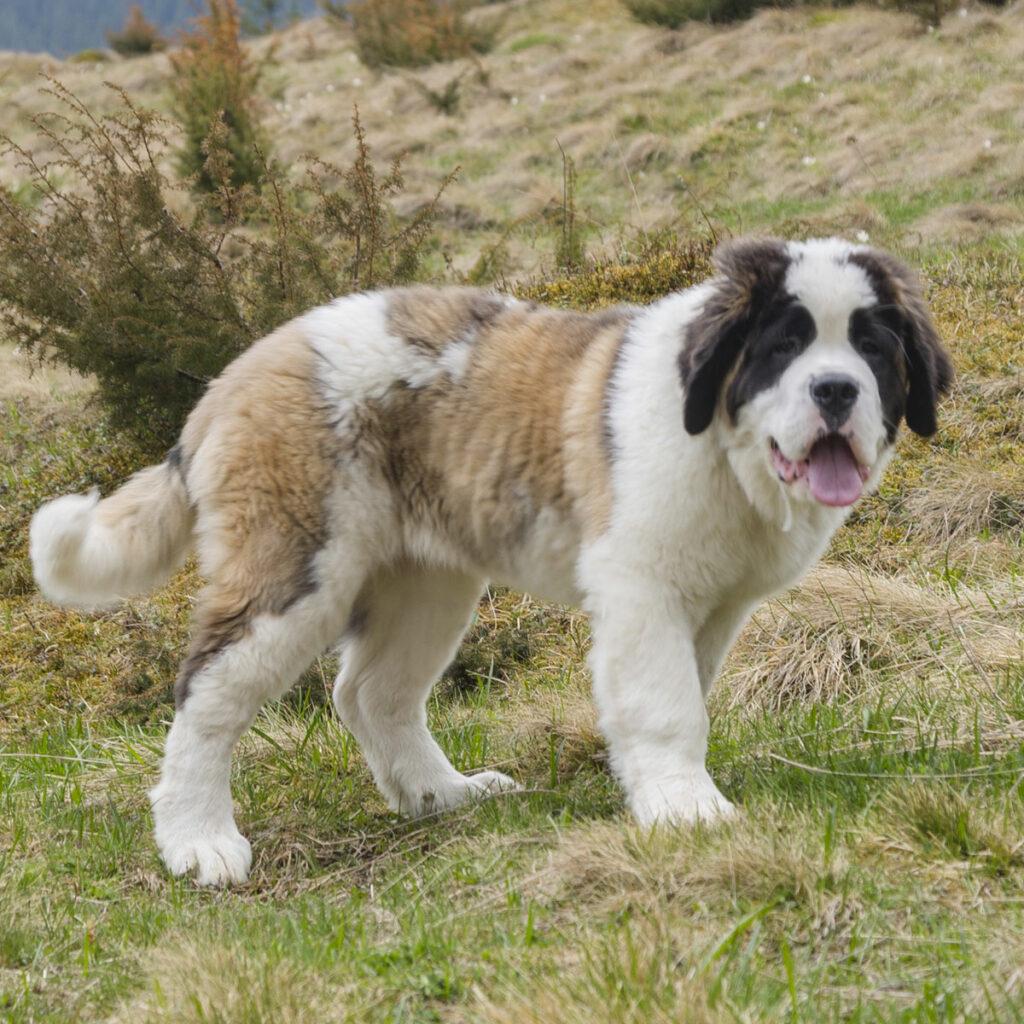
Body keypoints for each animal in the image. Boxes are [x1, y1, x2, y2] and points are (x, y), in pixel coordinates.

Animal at [28, 235, 950, 884]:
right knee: (207, 695)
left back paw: (442, 797)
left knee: (371, 694)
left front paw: (658, 791)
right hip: (295, 569)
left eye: (872, 349)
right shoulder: (642, 589)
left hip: (427, 585)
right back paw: (198, 840)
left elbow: (681, 694)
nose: (836, 390)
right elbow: (666, 704)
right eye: (783, 345)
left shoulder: (715, 607)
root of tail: (237, 374)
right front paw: (687, 812)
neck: (724, 445)